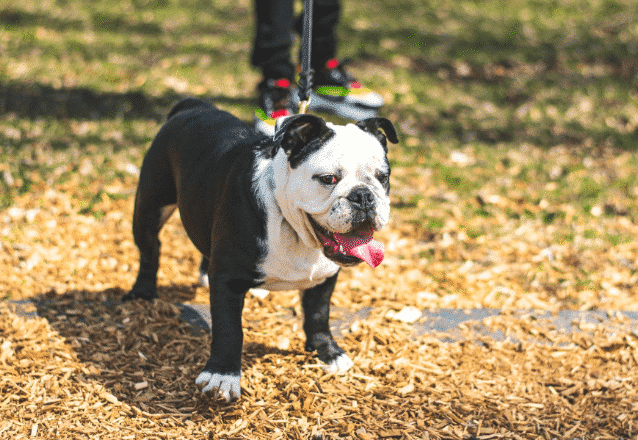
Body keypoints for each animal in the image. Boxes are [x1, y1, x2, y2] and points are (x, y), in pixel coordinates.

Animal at [122, 98, 398, 400]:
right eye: (328, 179)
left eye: (383, 177)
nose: (363, 195)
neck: (292, 227)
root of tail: (193, 105)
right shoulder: (228, 280)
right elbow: (229, 329)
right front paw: (223, 375)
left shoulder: (324, 278)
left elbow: (318, 315)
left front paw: (327, 352)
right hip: (150, 206)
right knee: (150, 249)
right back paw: (143, 291)